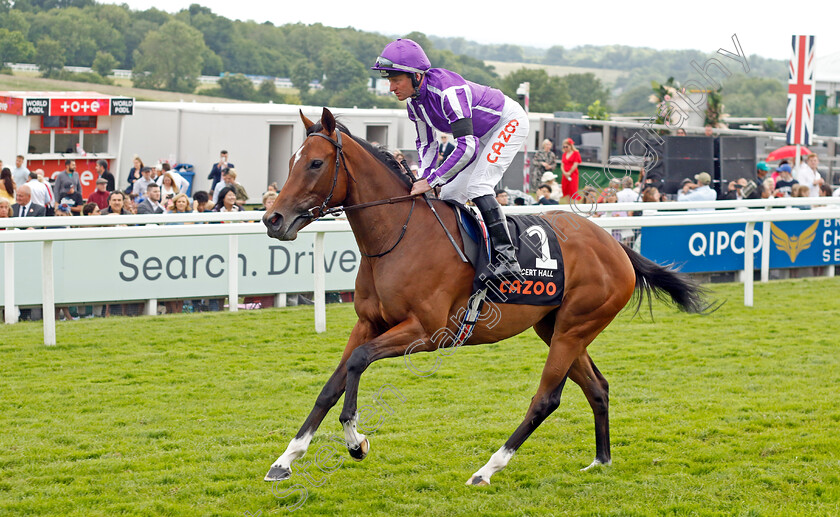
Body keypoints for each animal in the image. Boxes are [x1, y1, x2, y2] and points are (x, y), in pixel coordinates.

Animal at [262, 108, 708, 484]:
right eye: (292, 161)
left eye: (315, 163)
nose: (272, 218)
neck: (399, 237)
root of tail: (616, 246)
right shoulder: (368, 322)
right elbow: (332, 384)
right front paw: (286, 459)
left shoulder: (427, 332)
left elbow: (357, 362)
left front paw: (356, 442)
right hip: (557, 327)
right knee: (597, 387)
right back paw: (600, 460)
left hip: (574, 328)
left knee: (546, 398)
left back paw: (488, 469)